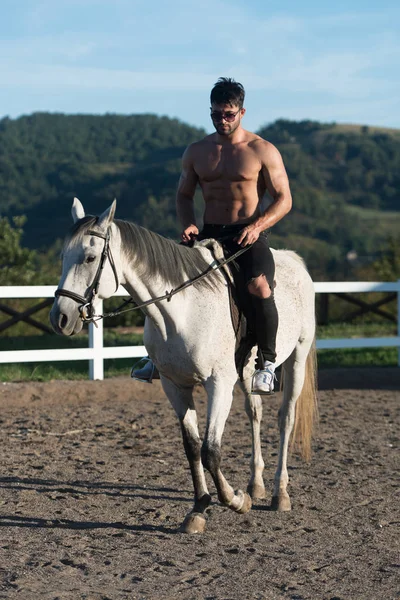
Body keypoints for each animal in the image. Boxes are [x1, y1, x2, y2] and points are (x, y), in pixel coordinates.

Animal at [50, 200, 318, 536]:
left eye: (89, 257)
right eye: (63, 257)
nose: (60, 318)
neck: (182, 310)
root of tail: (294, 260)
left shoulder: (219, 385)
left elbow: (210, 450)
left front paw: (236, 501)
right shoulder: (175, 385)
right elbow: (192, 447)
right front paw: (199, 508)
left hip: (296, 358)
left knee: (285, 419)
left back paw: (279, 493)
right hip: (247, 372)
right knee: (255, 412)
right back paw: (256, 484)